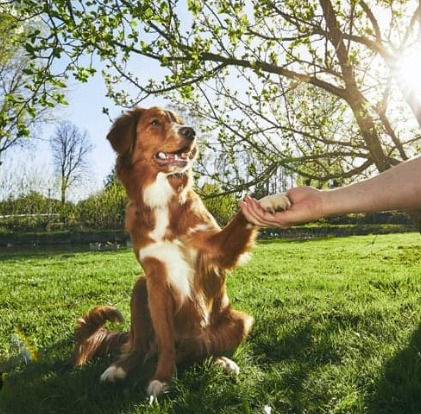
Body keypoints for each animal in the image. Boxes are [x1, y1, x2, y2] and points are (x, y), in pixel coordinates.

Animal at [72, 106, 290, 398]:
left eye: (180, 122)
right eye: (155, 122)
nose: (191, 132)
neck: (163, 199)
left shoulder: (217, 250)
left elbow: (242, 215)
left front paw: (270, 201)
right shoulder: (156, 280)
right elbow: (165, 341)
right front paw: (163, 378)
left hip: (239, 321)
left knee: (203, 351)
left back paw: (222, 361)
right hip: (140, 288)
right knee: (140, 347)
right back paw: (118, 368)